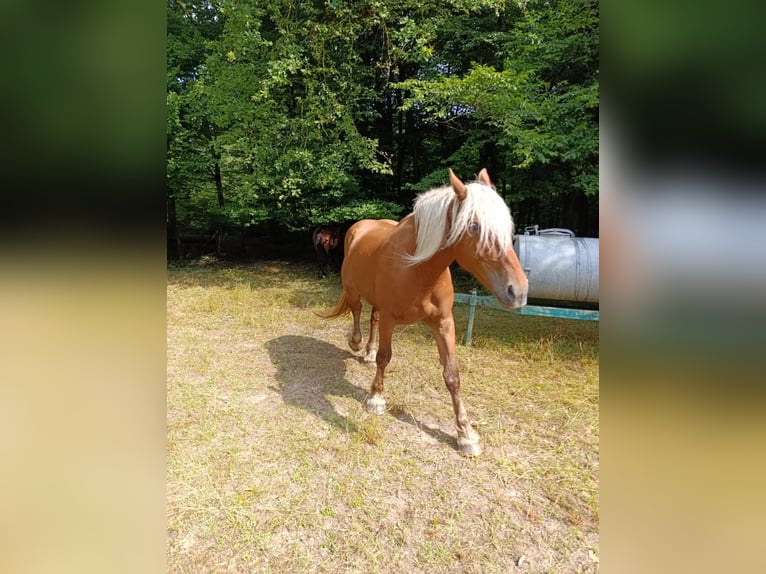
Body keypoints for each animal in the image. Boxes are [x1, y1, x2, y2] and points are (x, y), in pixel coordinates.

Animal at [318, 168, 528, 456]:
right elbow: (385, 357)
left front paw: (466, 434)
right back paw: (357, 344)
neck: (418, 269)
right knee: (358, 312)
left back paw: (367, 352)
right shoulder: (391, 319)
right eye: (474, 226)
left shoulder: (444, 323)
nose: (518, 291)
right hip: (352, 290)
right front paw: (376, 398)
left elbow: (452, 375)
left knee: (372, 317)